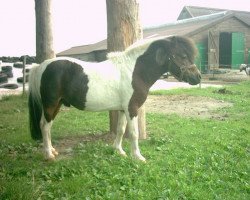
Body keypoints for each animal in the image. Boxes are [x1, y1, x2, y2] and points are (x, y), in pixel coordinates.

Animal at [28, 35, 202, 161]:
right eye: (183, 55)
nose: (198, 77)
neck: (135, 71)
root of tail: (40, 66)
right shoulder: (132, 109)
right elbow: (133, 133)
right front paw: (138, 157)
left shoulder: (123, 109)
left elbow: (121, 130)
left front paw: (119, 151)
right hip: (50, 104)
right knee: (44, 126)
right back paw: (48, 155)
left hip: (57, 104)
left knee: (48, 126)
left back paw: (52, 150)